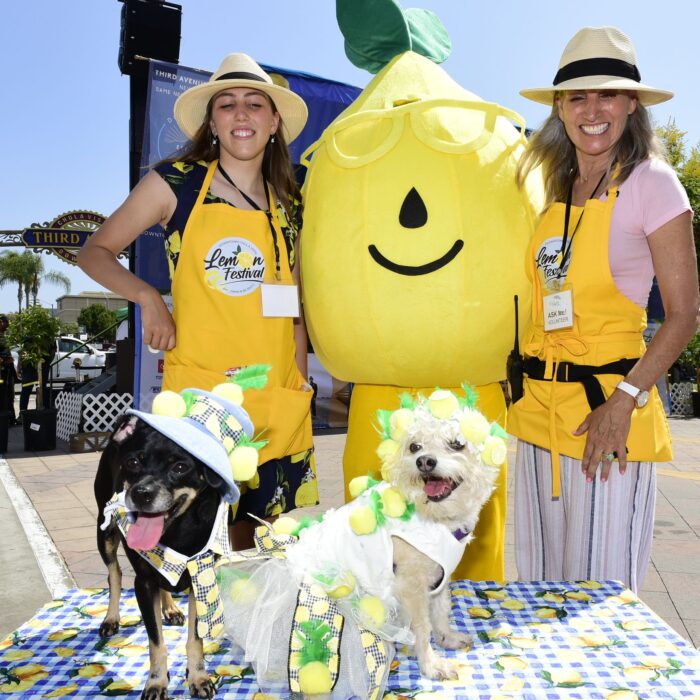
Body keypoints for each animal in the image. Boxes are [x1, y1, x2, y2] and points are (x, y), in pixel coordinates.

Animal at [95, 416, 224, 700]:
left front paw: (198, 678)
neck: (177, 531)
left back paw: (171, 609)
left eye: (180, 467)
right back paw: (111, 618)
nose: (141, 493)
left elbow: (195, 639)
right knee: (114, 574)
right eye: (133, 462)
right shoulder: (143, 583)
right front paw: (156, 683)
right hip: (104, 532)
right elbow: (156, 642)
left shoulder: (200, 577)